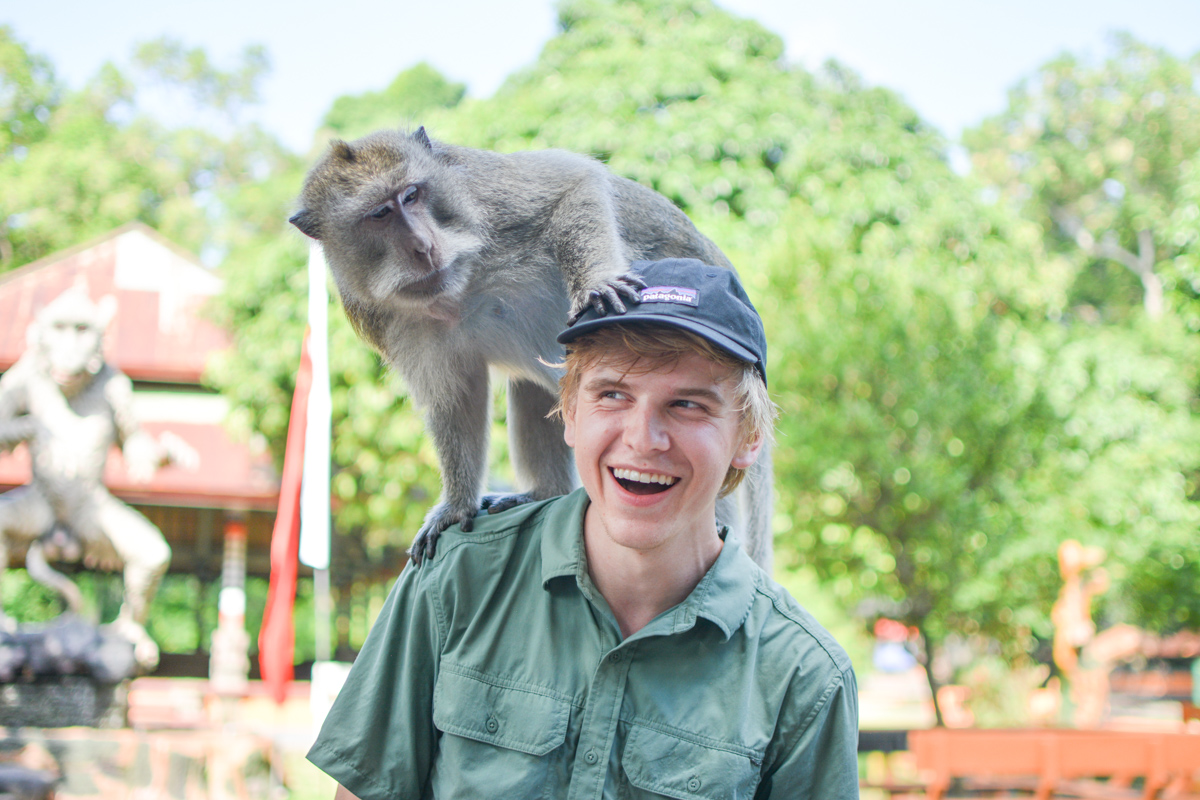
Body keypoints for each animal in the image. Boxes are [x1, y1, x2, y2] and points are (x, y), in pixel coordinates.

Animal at [295, 128, 772, 568]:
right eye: (379, 213)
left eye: (411, 195)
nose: (422, 246)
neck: (459, 289)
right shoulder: (388, 319)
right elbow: (458, 397)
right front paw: (456, 504)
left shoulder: (487, 195)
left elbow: (572, 184)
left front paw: (596, 283)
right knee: (536, 389)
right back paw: (545, 491)